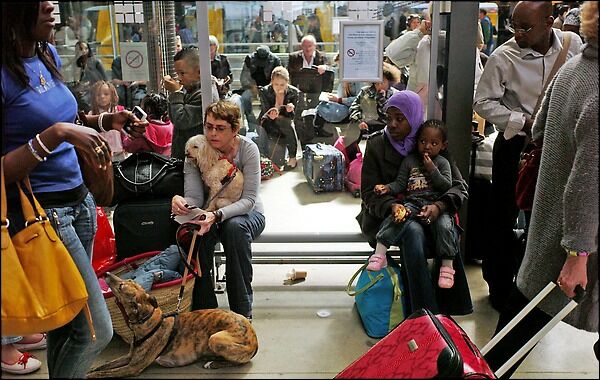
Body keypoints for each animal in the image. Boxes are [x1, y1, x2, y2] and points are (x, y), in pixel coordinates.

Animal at [86, 274, 258, 378]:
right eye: (129, 280)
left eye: (121, 286)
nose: (106, 274)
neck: (148, 320)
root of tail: (255, 340)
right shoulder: (129, 357)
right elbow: (104, 366)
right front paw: (91, 368)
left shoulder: (133, 367)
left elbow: (104, 373)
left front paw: (88, 375)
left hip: (215, 339)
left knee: (239, 362)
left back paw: (213, 363)